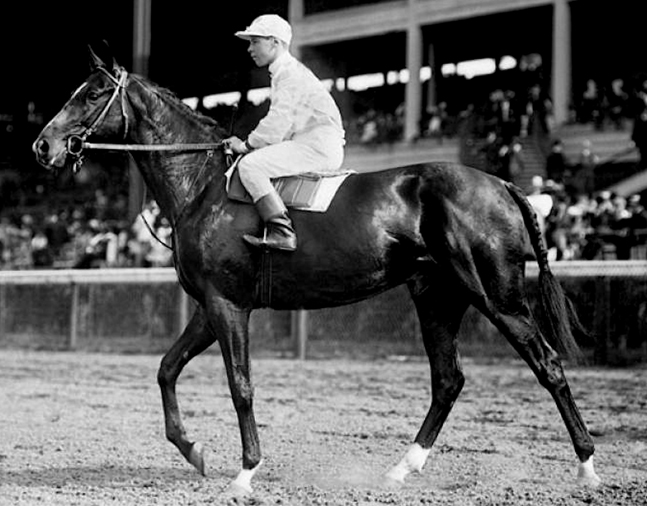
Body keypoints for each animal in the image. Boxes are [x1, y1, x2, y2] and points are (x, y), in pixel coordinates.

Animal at [31, 43, 604, 494]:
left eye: (90, 93)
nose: (43, 145)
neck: (203, 184)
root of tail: (503, 183)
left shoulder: (227, 305)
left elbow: (240, 385)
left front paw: (246, 471)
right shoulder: (209, 307)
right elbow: (167, 369)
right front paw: (191, 449)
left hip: (497, 296)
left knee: (548, 365)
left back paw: (587, 467)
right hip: (437, 297)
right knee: (448, 380)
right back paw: (402, 467)